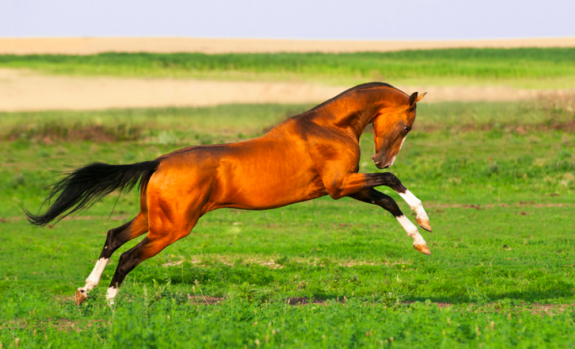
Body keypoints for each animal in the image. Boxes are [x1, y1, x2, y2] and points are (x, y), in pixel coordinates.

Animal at [27, 82, 432, 304]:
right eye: (407, 126)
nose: (381, 158)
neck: (328, 127)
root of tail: (159, 161)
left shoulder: (343, 187)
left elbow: (386, 199)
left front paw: (421, 240)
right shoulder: (340, 185)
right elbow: (392, 183)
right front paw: (425, 219)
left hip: (153, 219)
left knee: (113, 237)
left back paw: (85, 292)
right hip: (171, 229)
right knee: (128, 257)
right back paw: (111, 305)